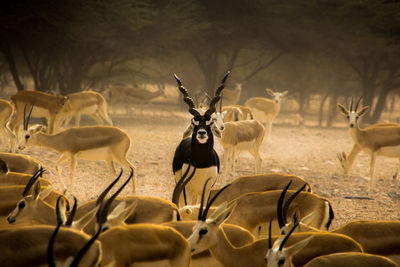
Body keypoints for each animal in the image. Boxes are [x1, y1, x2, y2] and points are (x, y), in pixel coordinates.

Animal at [173, 70, 231, 205]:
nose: (201, 133)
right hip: (183, 187)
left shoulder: (207, 189)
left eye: (210, 122)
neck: (201, 163)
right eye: (194, 122)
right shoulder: (187, 189)